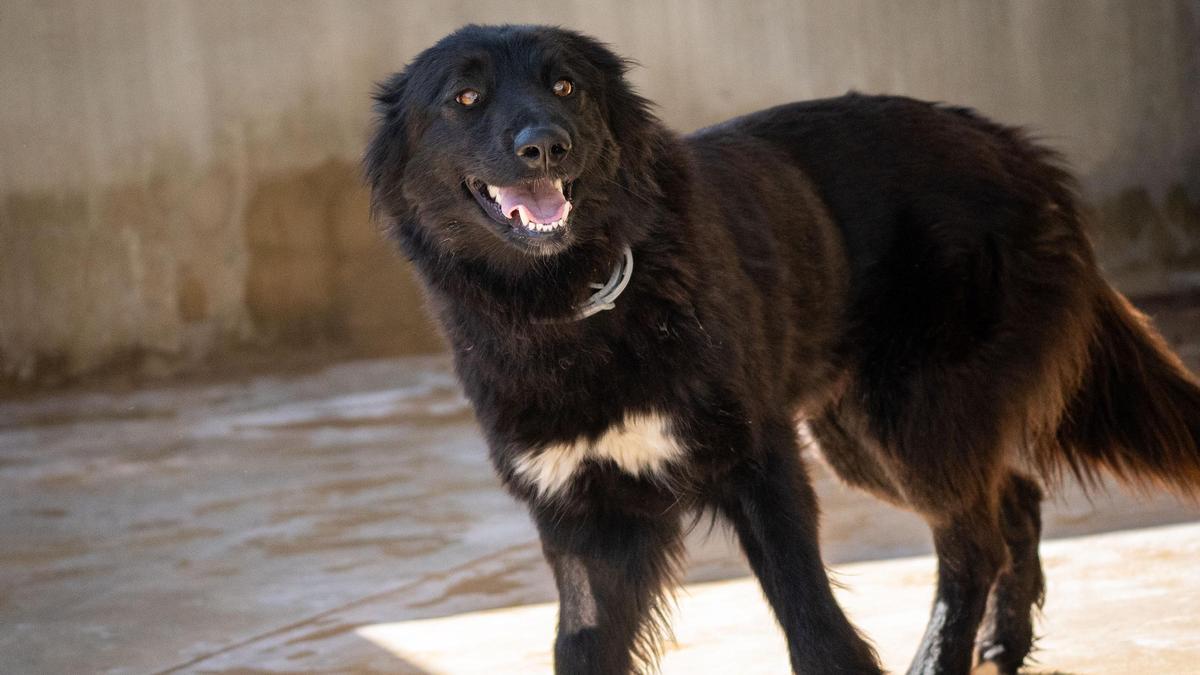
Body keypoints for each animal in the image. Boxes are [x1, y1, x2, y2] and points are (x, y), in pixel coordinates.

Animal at [364, 23, 1200, 667]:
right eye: (465, 98)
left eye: (565, 87)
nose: (546, 146)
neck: (581, 302)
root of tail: (1016, 146)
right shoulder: (581, 516)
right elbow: (581, 646)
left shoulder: (759, 464)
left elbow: (814, 624)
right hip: (858, 434)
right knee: (1013, 496)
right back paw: (1007, 641)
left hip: (905, 422)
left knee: (973, 542)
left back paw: (943, 657)